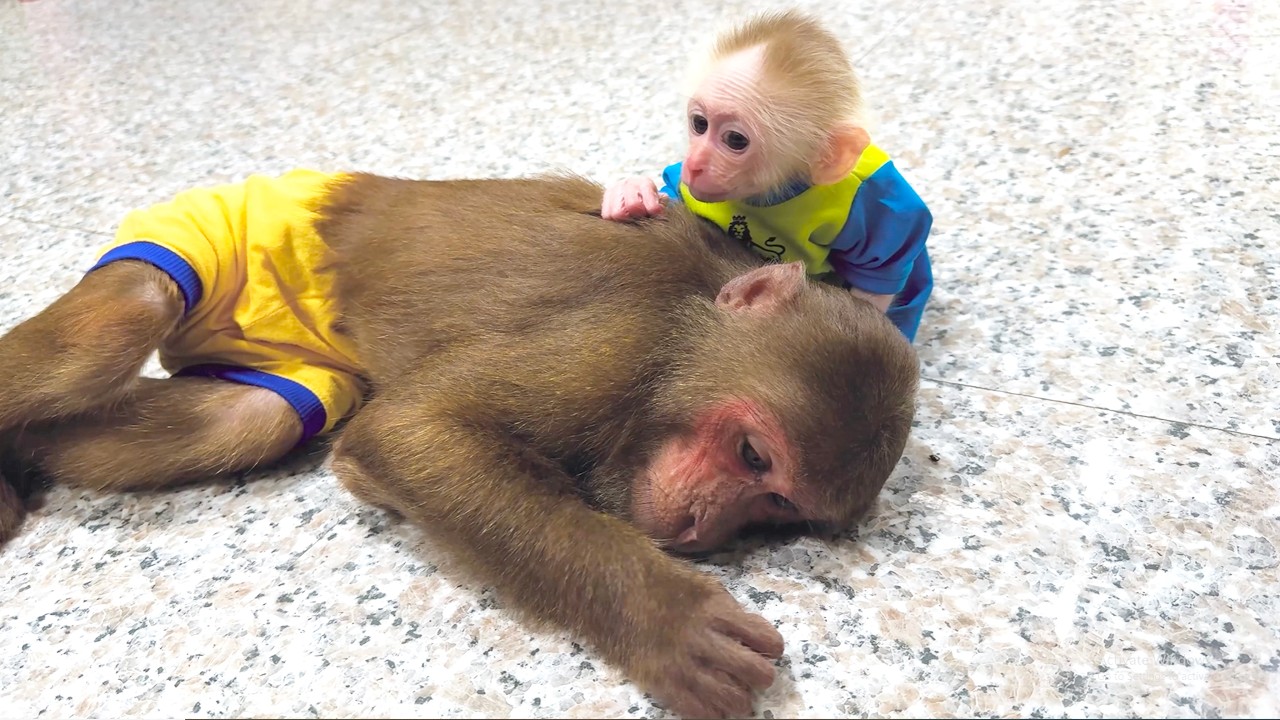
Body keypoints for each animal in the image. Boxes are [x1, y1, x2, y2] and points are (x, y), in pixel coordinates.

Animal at [0, 170, 920, 718]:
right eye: (753, 456)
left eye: (776, 506)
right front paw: (666, 616)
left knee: (247, 419)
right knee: (122, 319)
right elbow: (412, 432)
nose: (701, 524)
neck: (692, 312)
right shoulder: (620, 339)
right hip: (217, 225)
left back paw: (23, 458)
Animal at [601, 9, 935, 343]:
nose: (694, 164)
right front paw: (632, 191)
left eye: (735, 140)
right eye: (699, 124)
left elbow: (884, 263)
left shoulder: (873, 202)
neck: (779, 192)